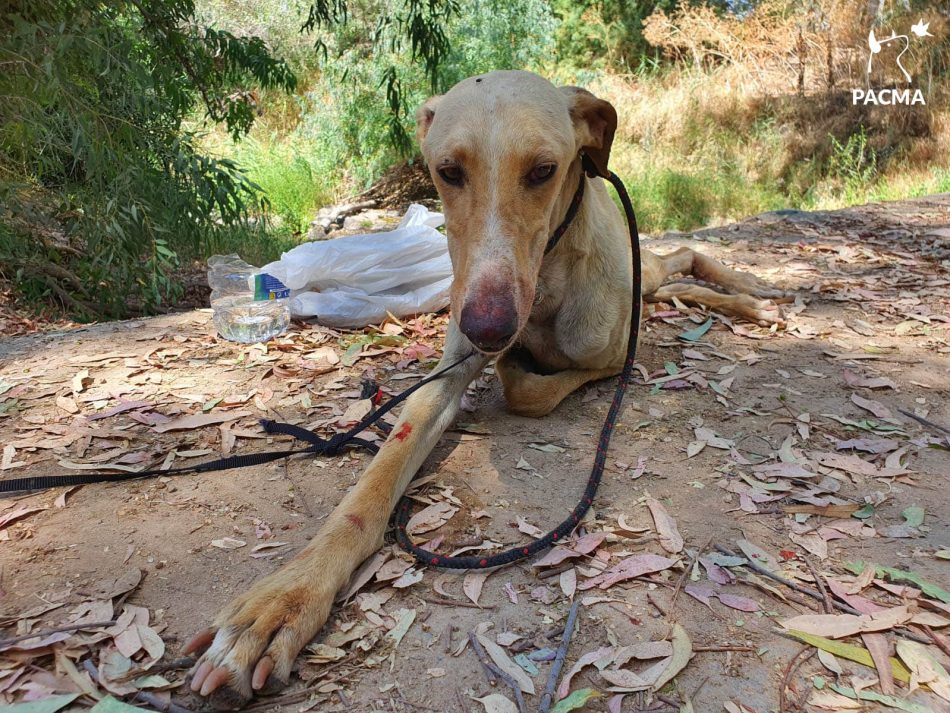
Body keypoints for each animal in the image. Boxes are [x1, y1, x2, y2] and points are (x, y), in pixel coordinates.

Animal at [186, 71, 788, 708]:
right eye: (448, 171)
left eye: (544, 171)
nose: (488, 328)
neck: (547, 282)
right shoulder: (443, 378)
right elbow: (371, 488)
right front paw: (286, 598)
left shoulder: (617, 355)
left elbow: (531, 390)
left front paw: (518, 365)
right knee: (670, 279)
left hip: (637, 283)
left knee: (679, 261)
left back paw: (751, 295)